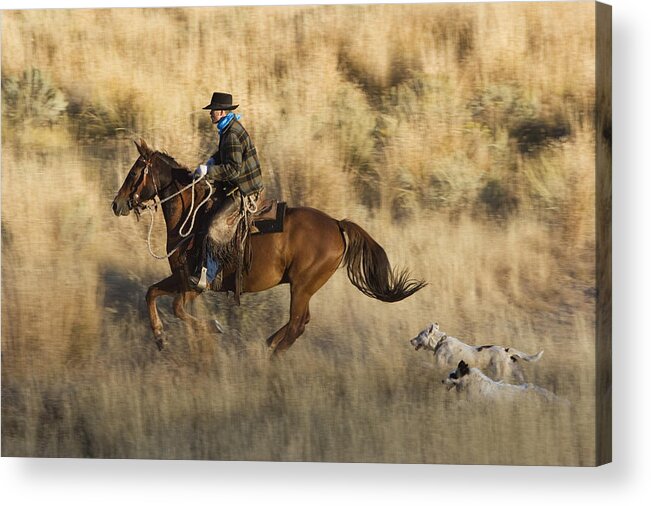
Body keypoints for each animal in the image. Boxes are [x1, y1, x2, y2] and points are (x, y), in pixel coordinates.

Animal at [112, 138, 428, 352]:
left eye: (134, 173)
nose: (116, 204)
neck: (193, 216)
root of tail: (337, 224)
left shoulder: (195, 284)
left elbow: (177, 308)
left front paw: (213, 329)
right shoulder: (179, 277)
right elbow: (151, 293)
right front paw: (159, 337)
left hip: (301, 286)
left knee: (297, 324)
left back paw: (270, 354)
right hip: (303, 288)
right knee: (300, 322)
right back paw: (269, 343)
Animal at [410, 322, 544, 382]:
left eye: (419, 335)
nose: (410, 340)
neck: (440, 342)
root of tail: (506, 350)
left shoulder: (439, 366)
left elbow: (426, 365)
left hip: (499, 374)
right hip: (516, 373)